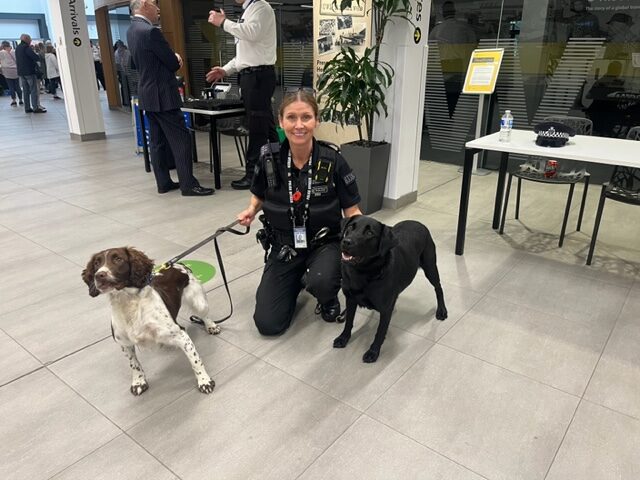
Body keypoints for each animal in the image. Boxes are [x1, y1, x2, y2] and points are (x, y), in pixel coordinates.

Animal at [81, 246, 221, 396]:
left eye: (118, 259)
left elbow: (195, 361)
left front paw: (204, 381)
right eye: (97, 263)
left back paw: (211, 326)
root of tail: (177, 264)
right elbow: (134, 364)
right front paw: (139, 382)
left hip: (199, 302)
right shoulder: (125, 344)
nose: (99, 275)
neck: (128, 303)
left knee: (205, 315)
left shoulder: (182, 336)